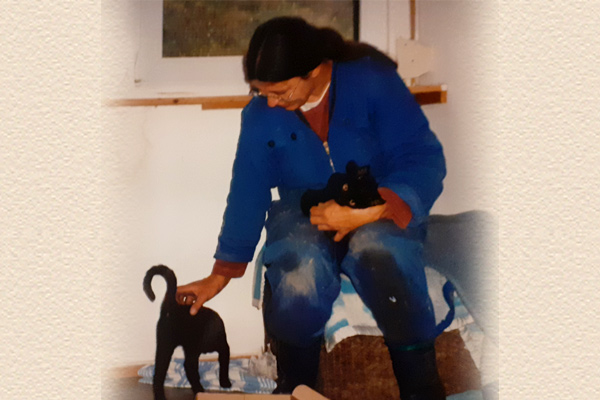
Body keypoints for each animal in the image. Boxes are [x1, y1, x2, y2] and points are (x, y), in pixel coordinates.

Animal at [143, 265, 232, 400]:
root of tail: (173, 306)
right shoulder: (222, 346)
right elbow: (224, 365)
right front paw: (225, 382)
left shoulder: (221, 347)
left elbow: (223, 364)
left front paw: (223, 382)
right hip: (185, 346)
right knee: (187, 366)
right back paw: (199, 390)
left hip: (164, 344)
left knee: (158, 372)